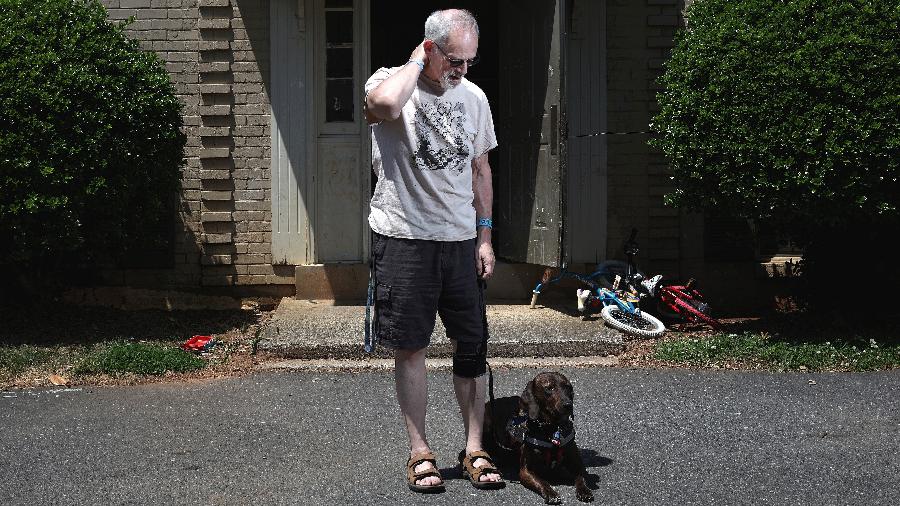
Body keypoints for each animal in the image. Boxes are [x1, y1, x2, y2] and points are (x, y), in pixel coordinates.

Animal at [486, 370, 596, 504]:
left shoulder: (577, 464)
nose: (568, 405)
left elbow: (581, 477)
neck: (552, 428)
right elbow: (542, 482)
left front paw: (584, 490)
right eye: (549, 388)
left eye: (568, 387)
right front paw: (551, 493)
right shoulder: (526, 471)